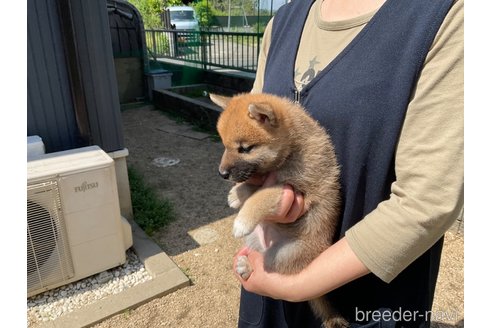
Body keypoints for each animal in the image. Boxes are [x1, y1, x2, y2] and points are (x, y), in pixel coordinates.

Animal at [210, 93, 346, 328]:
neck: (293, 147)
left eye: (245, 149)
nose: (222, 173)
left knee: (268, 264)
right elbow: (254, 187)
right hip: (256, 242)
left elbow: (262, 195)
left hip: (282, 255)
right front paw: (237, 194)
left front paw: (242, 219)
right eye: (225, 145)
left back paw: (248, 266)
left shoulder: (292, 187)